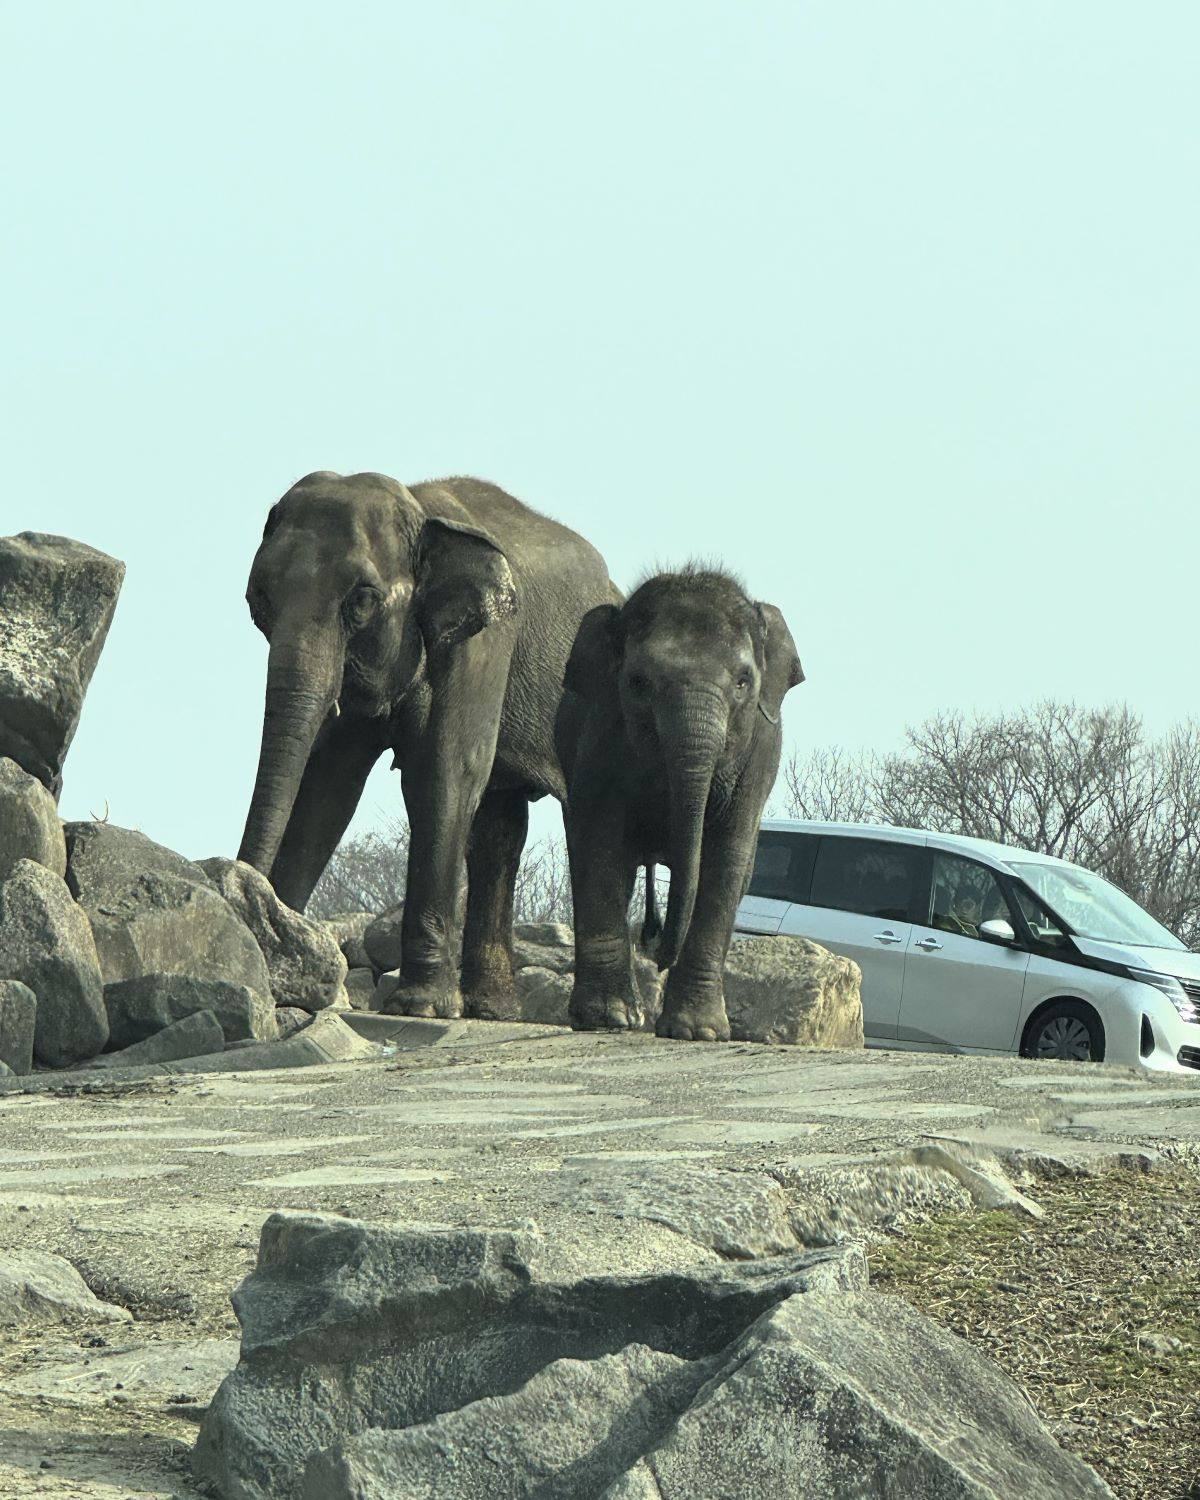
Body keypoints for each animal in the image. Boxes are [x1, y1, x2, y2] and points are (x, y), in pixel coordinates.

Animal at [237, 470, 618, 1020]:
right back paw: (492, 1010)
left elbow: (447, 769)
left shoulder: (486, 639)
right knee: (500, 826)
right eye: (258, 601)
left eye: (362, 602)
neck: (419, 510)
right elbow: (328, 780)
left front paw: (420, 1007)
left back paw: (604, 1013)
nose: (244, 892)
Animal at [556, 567, 803, 1041]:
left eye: (743, 682)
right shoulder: (599, 733)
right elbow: (597, 840)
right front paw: (607, 1018)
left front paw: (698, 1032)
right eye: (637, 682)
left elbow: (727, 859)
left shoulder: (760, 754)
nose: (656, 950)